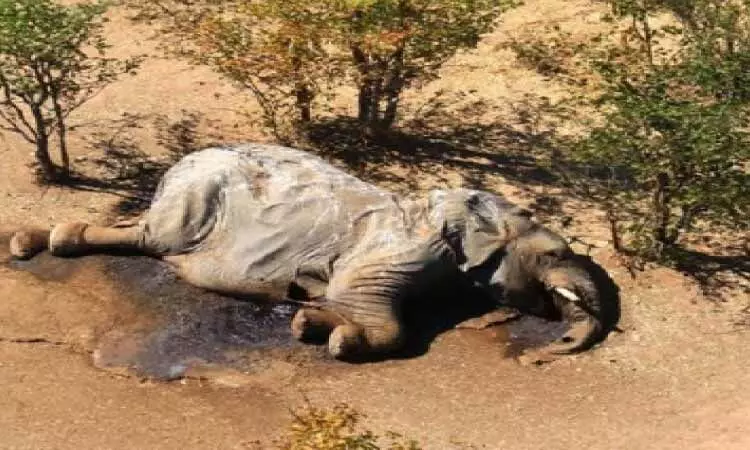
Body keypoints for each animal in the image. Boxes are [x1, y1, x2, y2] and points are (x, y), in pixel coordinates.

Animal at [8, 143, 612, 362]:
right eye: (552, 252)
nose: (540, 355)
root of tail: (178, 163)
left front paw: (312, 320)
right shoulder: (404, 247)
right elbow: (368, 303)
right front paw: (328, 334)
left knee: (144, 237)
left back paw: (36, 241)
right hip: (195, 199)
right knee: (154, 239)